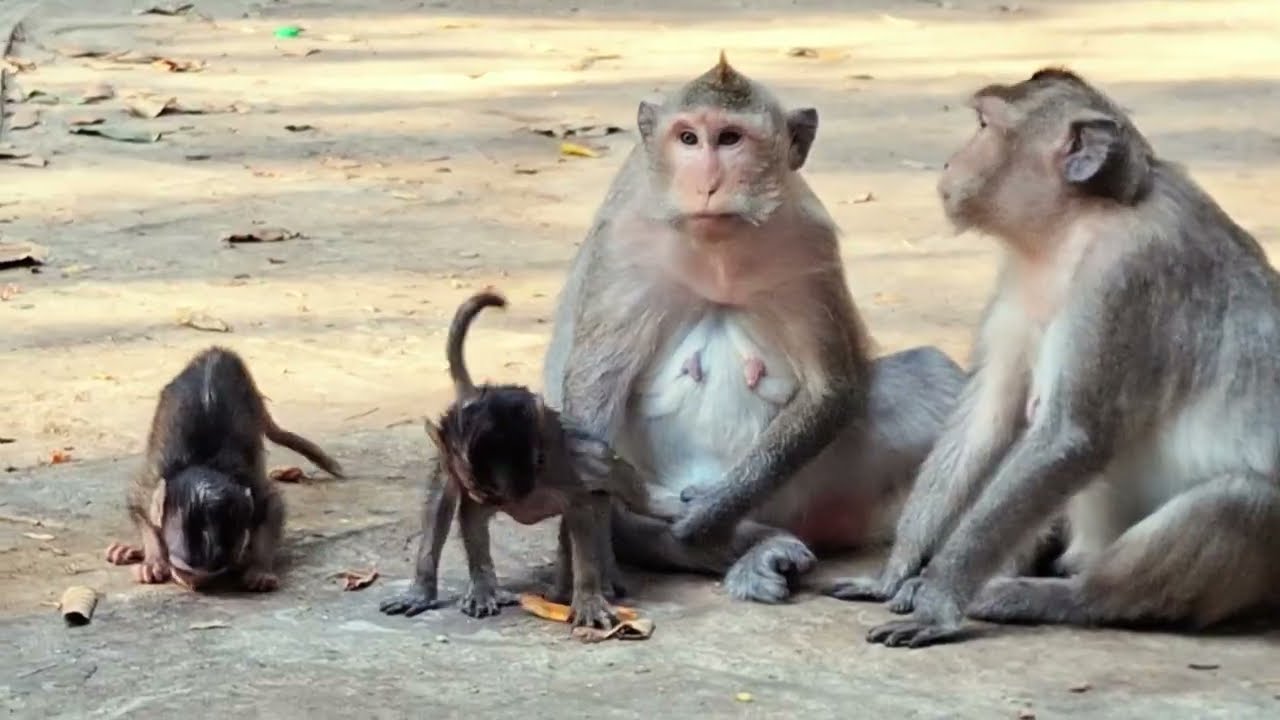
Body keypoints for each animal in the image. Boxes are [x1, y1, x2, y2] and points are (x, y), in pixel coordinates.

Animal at [104, 346, 344, 591]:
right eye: (182, 570)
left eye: (211, 573)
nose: (194, 584)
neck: (204, 463)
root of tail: (217, 352)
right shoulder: (155, 477)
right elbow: (138, 503)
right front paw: (154, 558)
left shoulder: (251, 486)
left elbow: (272, 506)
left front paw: (259, 568)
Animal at [378, 290, 657, 629]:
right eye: (481, 486)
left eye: (538, 460)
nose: (520, 496)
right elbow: (470, 517)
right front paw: (484, 589)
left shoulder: (564, 474)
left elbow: (583, 513)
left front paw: (588, 597)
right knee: (439, 505)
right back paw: (423, 590)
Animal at [540, 52, 967, 604]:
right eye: (688, 138)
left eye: (730, 138)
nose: (707, 184)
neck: (717, 252)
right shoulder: (625, 246)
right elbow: (594, 394)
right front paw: (591, 560)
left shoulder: (806, 241)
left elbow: (832, 388)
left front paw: (712, 510)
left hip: (816, 488)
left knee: (930, 376)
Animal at [832, 66, 1280, 649]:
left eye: (984, 125)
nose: (950, 162)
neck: (1076, 226)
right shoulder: (1019, 279)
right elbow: (983, 425)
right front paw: (897, 571)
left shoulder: (1125, 275)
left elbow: (1068, 437)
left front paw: (938, 601)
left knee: (1240, 501)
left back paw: (1056, 596)